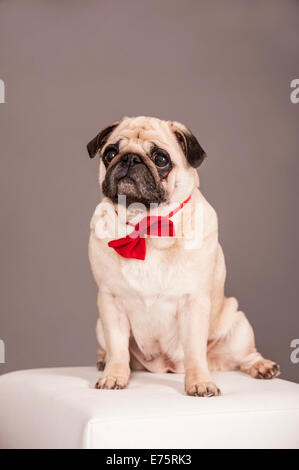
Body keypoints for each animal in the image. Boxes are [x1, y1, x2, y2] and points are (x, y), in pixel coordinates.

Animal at [87, 115, 282, 394]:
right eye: (111, 153)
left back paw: (262, 366)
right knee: (116, 351)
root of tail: (165, 367)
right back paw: (104, 360)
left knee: (245, 355)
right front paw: (114, 375)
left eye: (160, 159)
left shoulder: (194, 302)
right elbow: (118, 348)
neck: (146, 226)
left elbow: (194, 351)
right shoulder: (110, 302)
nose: (130, 159)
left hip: (238, 325)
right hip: (100, 326)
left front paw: (199, 382)